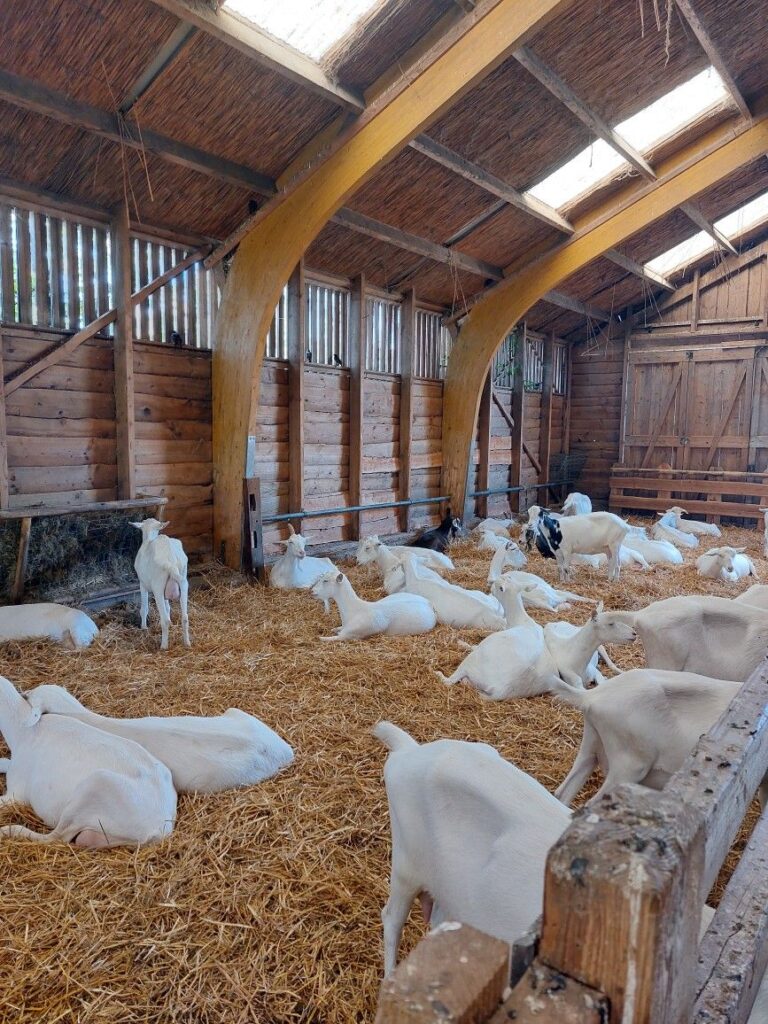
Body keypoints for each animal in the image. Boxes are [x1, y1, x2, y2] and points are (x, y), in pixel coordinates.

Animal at [0, 675, 176, 847]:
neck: (22, 731)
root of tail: (159, 828)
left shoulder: (17, 791)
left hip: (94, 787)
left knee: (57, 837)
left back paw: (9, 830)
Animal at [131, 518, 189, 650]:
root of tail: (171, 563)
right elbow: (168, 607)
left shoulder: (142, 584)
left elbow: (144, 608)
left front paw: (143, 627)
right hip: (183, 581)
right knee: (185, 617)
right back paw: (187, 643)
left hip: (157, 587)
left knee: (165, 620)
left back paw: (164, 646)